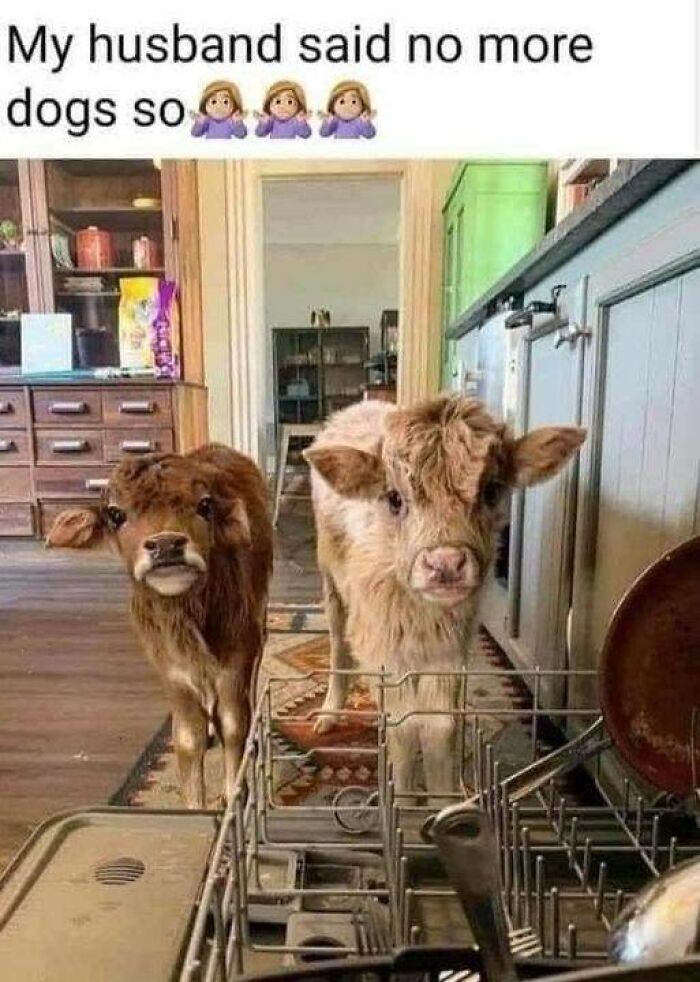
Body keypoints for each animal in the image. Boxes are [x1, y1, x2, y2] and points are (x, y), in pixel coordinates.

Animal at [47, 444, 273, 809]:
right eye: (116, 514)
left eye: (205, 505)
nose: (167, 545)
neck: (187, 623)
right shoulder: (171, 672)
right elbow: (188, 738)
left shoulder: (236, 660)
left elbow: (235, 725)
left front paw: (233, 795)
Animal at [304, 396, 585, 800]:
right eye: (394, 498)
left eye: (491, 490)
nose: (446, 563)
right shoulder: (386, 645)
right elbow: (404, 731)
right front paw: (406, 803)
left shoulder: (448, 650)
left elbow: (440, 729)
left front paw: (443, 801)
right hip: (331, 581)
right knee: (338, 645)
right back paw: (329, 712)